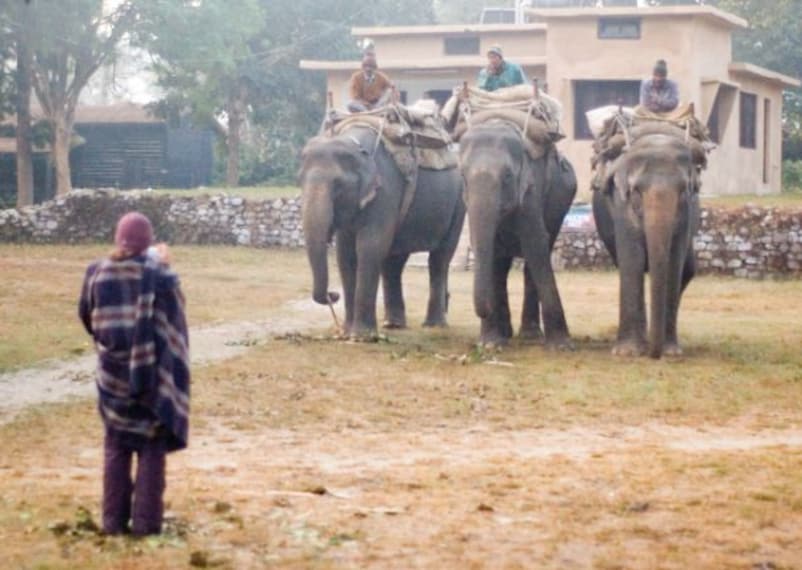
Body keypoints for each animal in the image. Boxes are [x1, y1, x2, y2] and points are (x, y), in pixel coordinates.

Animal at [299, 125, 466, 339]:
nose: (333, 295)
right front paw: (347, 332)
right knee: (394, 261)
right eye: (300, 182)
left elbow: (370, 246)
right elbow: (345, 254)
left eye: (338, 186)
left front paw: (361, 337)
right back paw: (393, 324)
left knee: (440, 258)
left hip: (459, 204)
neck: (354, 143)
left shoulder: (386, 190)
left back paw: (433, 325)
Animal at [458, 122, 577, 347]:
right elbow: (486, 248)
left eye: (507, 176)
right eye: (463, 177)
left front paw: (561, 346)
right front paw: (489, 345)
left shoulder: (530, 192)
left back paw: (529, 335)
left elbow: (535, 244)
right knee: (501, 265)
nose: (484, 311)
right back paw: (506, 333)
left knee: (534, 258)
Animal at [592, 131, 700, 359]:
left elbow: (674, 262)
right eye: (636, 192)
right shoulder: (621, 205)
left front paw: (671, 352)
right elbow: (632, 259)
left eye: (683, 191)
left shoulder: (687, 212)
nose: (654, 354)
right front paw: (627, 352)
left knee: (688, 270)